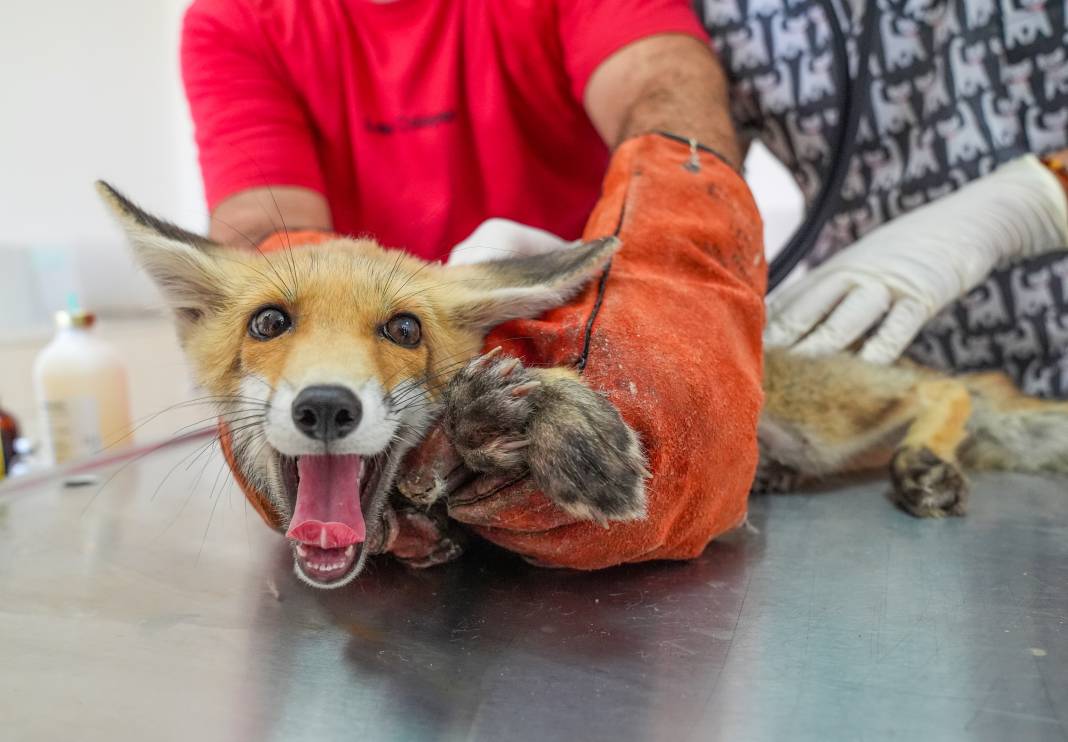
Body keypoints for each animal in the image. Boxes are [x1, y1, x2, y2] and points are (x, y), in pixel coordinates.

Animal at [100, 182, 1068, 589]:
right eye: (269, 324)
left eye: (404, 330)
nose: (327, 406)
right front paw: (427, 510)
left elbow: (534, 391)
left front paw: (545, 428)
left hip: (823, 411)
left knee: (946, 385)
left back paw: (925, 462)